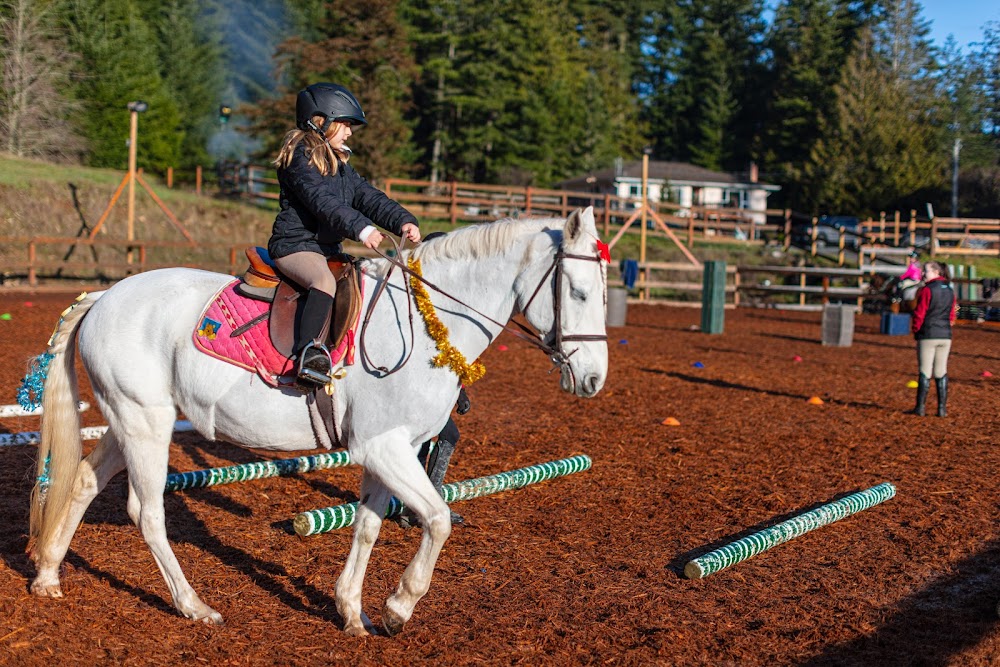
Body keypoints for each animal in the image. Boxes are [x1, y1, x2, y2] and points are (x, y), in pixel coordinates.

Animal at [27, 207, 608, 636]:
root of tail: (107, 295)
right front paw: (398, 608)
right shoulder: (384, 447)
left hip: (129, 420)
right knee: (146, 513)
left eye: (604, 295)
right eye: (578, 292)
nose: (593, 380)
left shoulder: (386, 451)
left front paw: (353, 611)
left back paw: (49, 575)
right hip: (146, 424)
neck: (426, 324)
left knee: (83, 482)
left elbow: (369, 526)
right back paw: (194, 605)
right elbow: (438, 519)